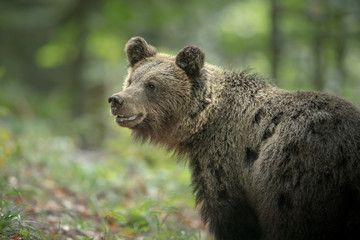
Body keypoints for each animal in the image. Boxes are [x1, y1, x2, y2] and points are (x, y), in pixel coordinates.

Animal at [108, 36, 360, 239]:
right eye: (131, 80)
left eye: (152, 85)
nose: (116, 100)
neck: (204, 124)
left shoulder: (226, 162)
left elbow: (231, 215)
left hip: (297, 170)